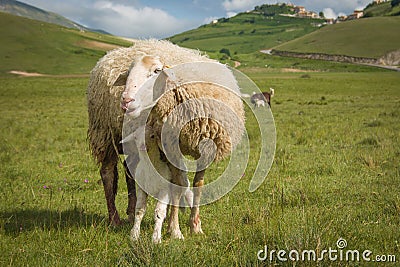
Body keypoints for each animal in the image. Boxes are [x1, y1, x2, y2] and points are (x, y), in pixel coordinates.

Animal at [87, 39, 212, 226]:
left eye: (157, 71)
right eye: (128, 73)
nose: (126, 100)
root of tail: (109, 57)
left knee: (130, 171)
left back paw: (131, 212)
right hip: (105, 133)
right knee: (107, 172)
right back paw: (114, 219)